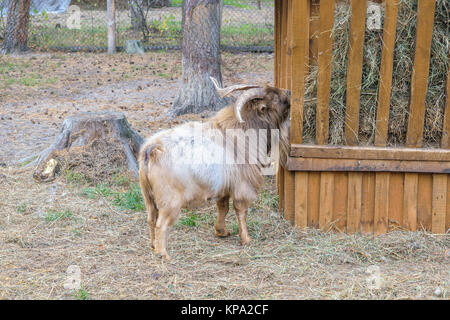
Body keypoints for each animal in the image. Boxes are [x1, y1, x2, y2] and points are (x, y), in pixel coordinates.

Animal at [139, 78, 290, 260]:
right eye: (274, 97)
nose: (288, 92)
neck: (242, 131)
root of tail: (152, 149)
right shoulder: (243, 185)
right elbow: (241, 210)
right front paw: (246, 239)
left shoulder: (224, 187)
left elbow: (223, 207)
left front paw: (221, 231)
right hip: (170, 201)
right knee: (161, 224)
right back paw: (163, 254)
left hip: (148, 196)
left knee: (151, 219)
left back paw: (153, 245)